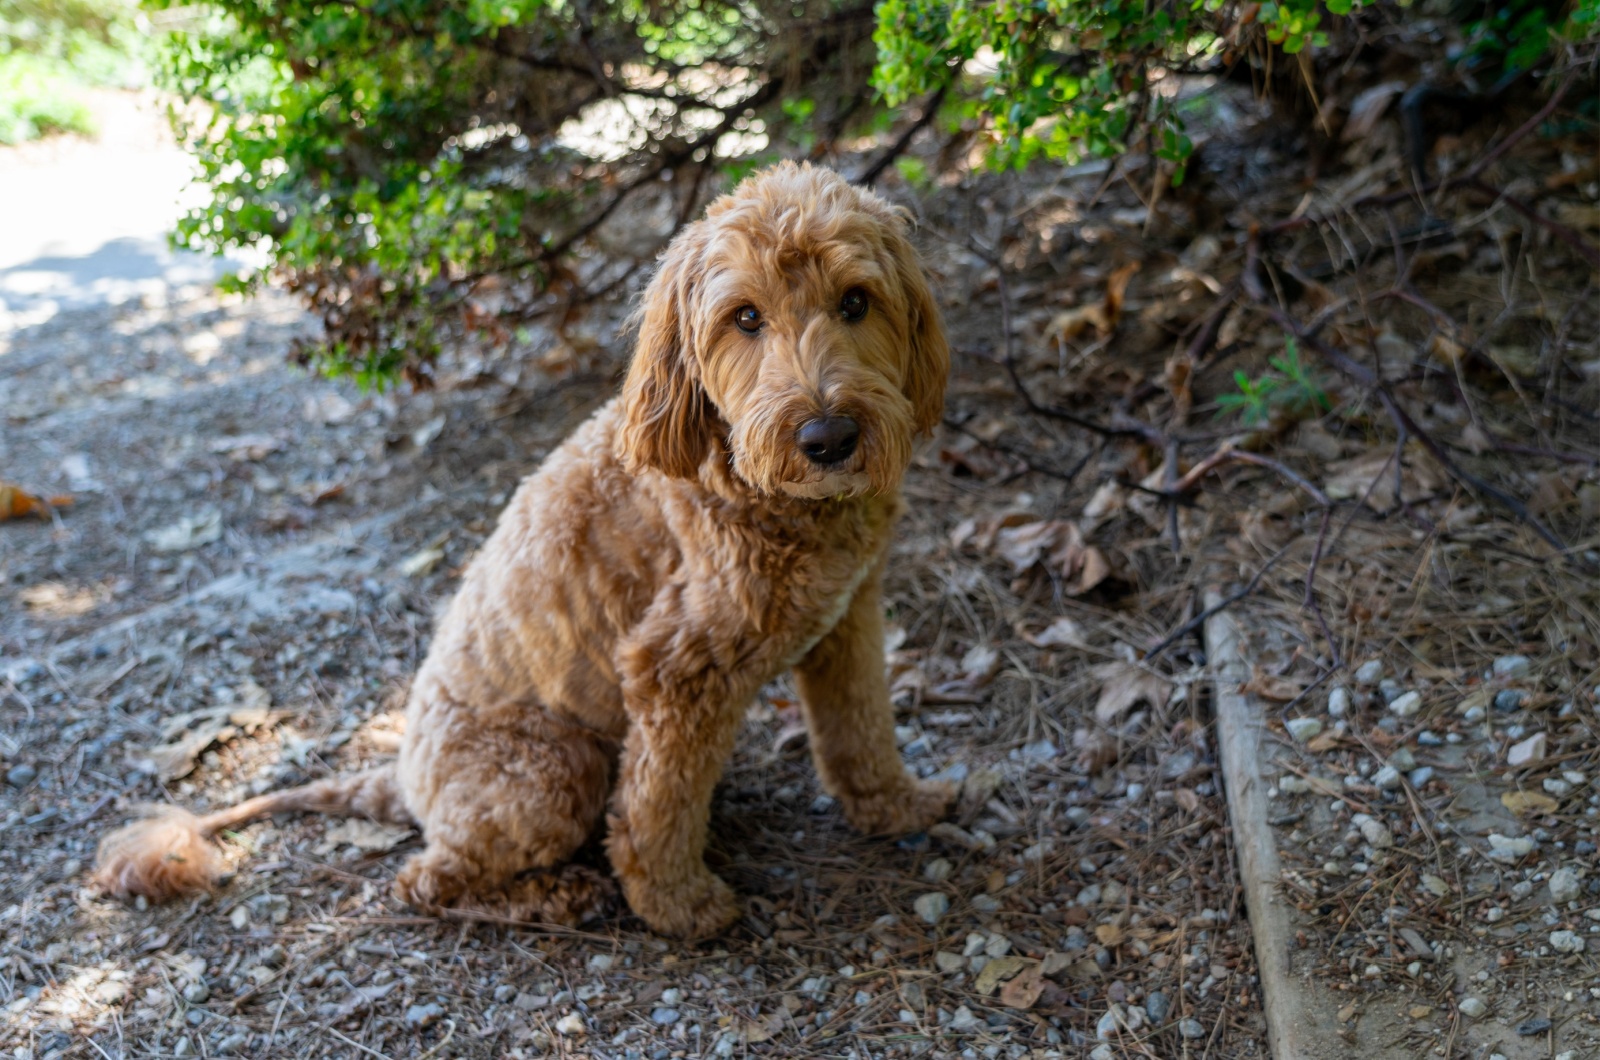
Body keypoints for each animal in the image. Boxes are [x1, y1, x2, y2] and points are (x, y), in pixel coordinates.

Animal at [96, 157, 947, 941]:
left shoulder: (847, 617)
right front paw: (678, 905)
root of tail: (404, 779)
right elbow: (656, 811)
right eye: (744, 318)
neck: (752, 479)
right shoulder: (674, 672)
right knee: (427, 879)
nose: (829, 436)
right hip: (554, 763)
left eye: (856, 302)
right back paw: (560, 897)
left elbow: (861, 727)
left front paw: (896, 804)